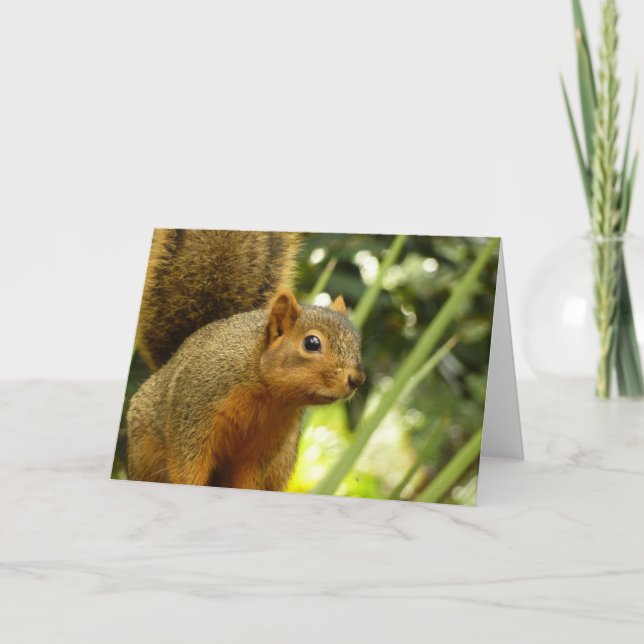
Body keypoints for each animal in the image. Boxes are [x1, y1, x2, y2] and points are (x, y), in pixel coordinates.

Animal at [126, 229, 365, 491]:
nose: (357, 379)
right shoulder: (194, 413)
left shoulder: (266, 446)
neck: (267, 394)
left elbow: (249, 479)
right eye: (312, 343)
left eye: (357, 342)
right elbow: (187, 466)